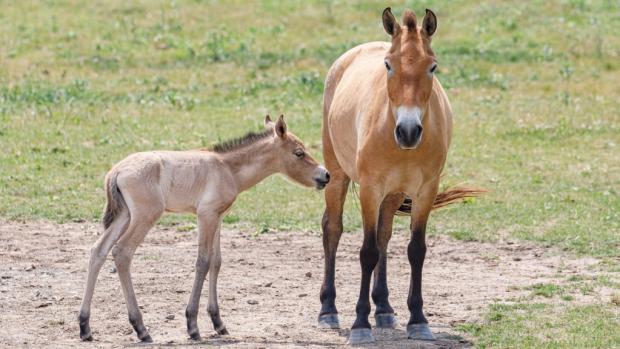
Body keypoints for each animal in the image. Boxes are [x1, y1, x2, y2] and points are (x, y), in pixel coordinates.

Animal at [77, 114, 330, 340]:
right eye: (299, 153)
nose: (325, 175)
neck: (227, 167)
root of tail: (116, 170)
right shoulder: (205, 215)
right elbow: (203, 262)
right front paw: (192, 325)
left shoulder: (218, 217)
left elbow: (216, 262)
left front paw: (218, 323)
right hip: (144, 216)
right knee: (122, 252)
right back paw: (141, 329)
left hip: (124, 216)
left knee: (98, 251)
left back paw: (85, 327)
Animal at [318, 7, 482, 342]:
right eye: (388, 65)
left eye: (432, 66)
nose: (408, 131)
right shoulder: (369, 189)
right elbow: (367, 251)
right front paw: (360, 325)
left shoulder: (425, 191)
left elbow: (414, 250)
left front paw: (417, 319)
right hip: (338, 175)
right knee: (333, 229)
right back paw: (328, 310)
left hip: (393, 194)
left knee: (384, 234)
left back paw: (383, 308)